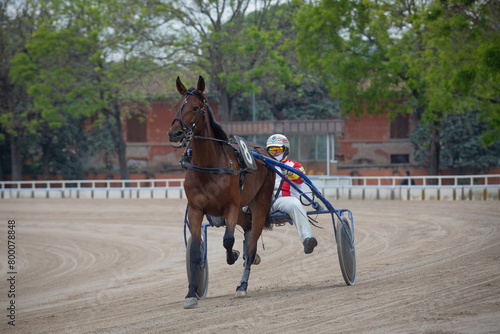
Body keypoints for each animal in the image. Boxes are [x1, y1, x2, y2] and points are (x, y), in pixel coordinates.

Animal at [170, 75, 276, 308]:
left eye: (195, 107)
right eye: (176, 105)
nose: (175, 133)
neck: (209, 167)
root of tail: (263, 153)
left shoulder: (231, 207)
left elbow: (228, 241)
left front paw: (234, 255)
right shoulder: (195, 210)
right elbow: (195, 251)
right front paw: (191, 293)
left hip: (260, 201)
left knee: (252, 241)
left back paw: (242, 284)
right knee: (247, 225)